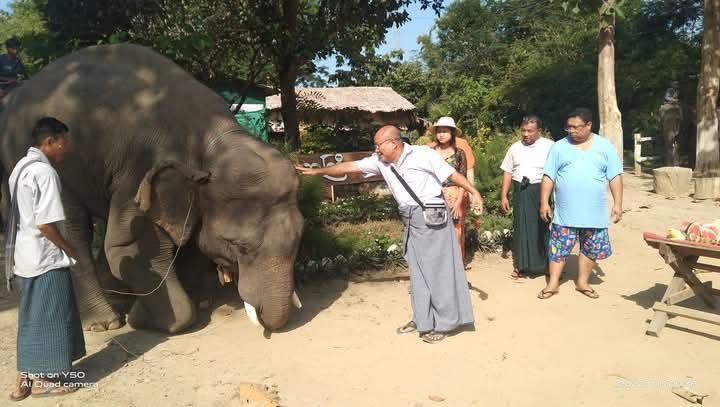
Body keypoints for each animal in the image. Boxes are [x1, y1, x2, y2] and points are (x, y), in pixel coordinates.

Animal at [0, 44, 304, 334]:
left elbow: (189, 241)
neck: (211, 139)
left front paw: (169, 307)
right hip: (47, 165)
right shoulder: (140, 168)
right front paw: (146, 320)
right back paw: (105, 323)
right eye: (240, 246)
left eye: (299, 238)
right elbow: (128, 247)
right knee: (73, 230)